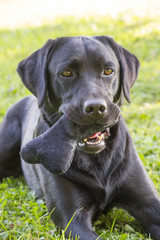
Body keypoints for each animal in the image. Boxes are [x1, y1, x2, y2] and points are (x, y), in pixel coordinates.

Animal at [0, 36, 160, 240]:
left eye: (108, 71)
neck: (97, 159)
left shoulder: (148, 202)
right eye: (66, 72)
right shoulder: (73, 220)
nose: (96, 108)